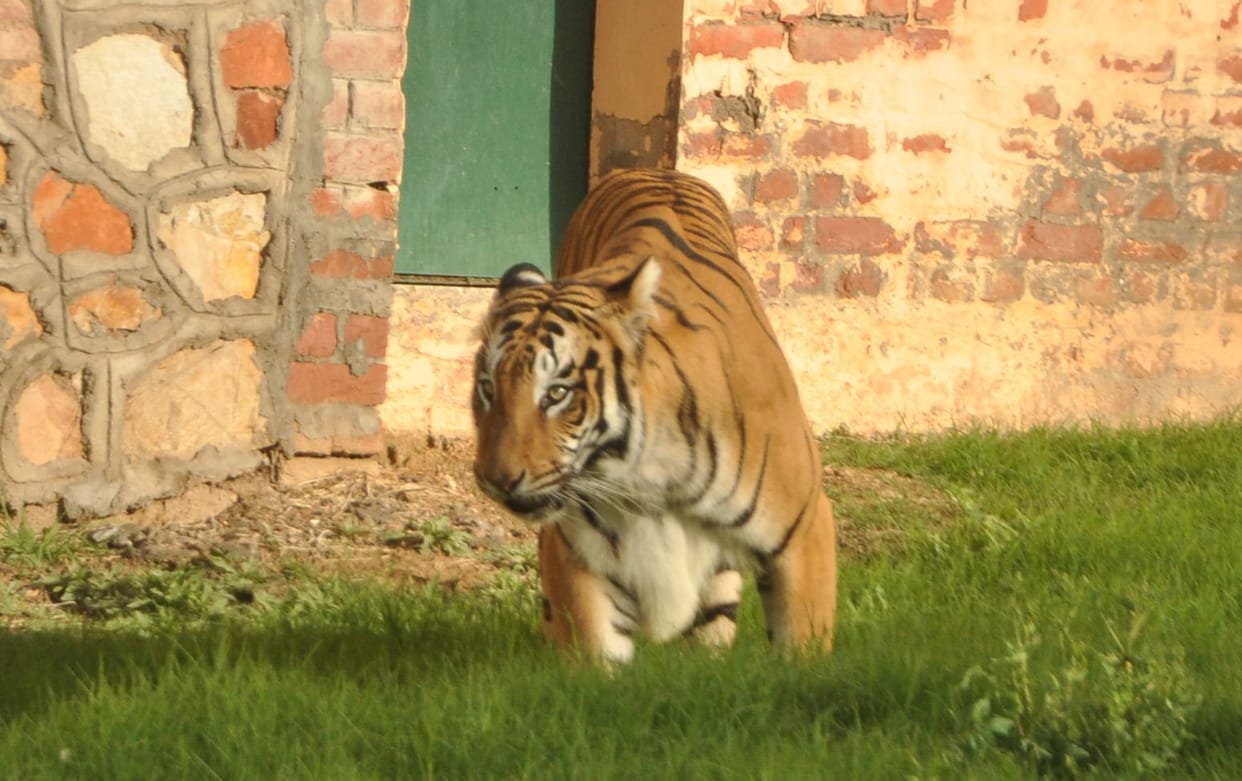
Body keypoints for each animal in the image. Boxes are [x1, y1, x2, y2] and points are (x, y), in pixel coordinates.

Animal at [471, 167, 836, 663]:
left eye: (558, 393)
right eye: (488, 389)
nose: (497, 480)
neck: (649, 481)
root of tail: (651, 170)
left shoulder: (804, 529)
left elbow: (803, 647)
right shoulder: (577, 552)